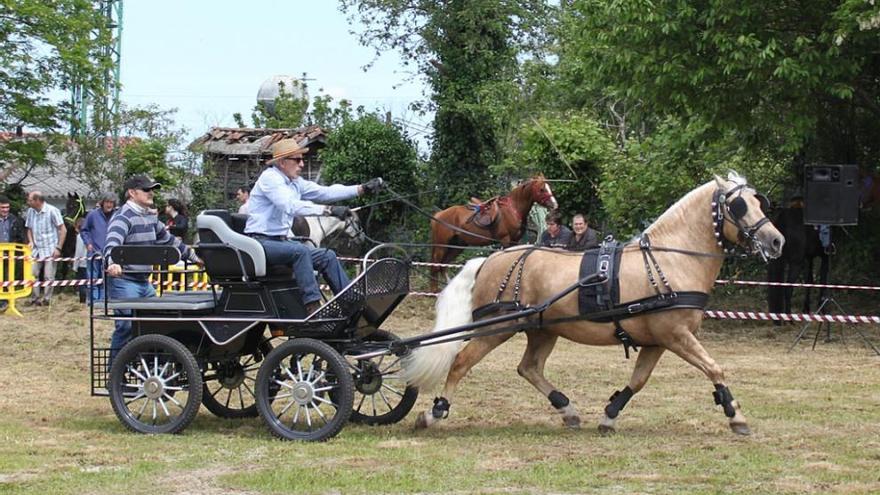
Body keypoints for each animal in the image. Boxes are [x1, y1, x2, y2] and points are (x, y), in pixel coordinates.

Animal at [428, 174, 556, 292]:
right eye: (542, 189)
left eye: (549, 187)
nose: (555, 204)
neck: (513, 210)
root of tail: (438, 215)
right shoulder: (505, 240)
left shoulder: (515, 241)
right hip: (441, 246)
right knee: (435, 266)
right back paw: (433, 291)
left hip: (457, 246)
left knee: (443, 265)